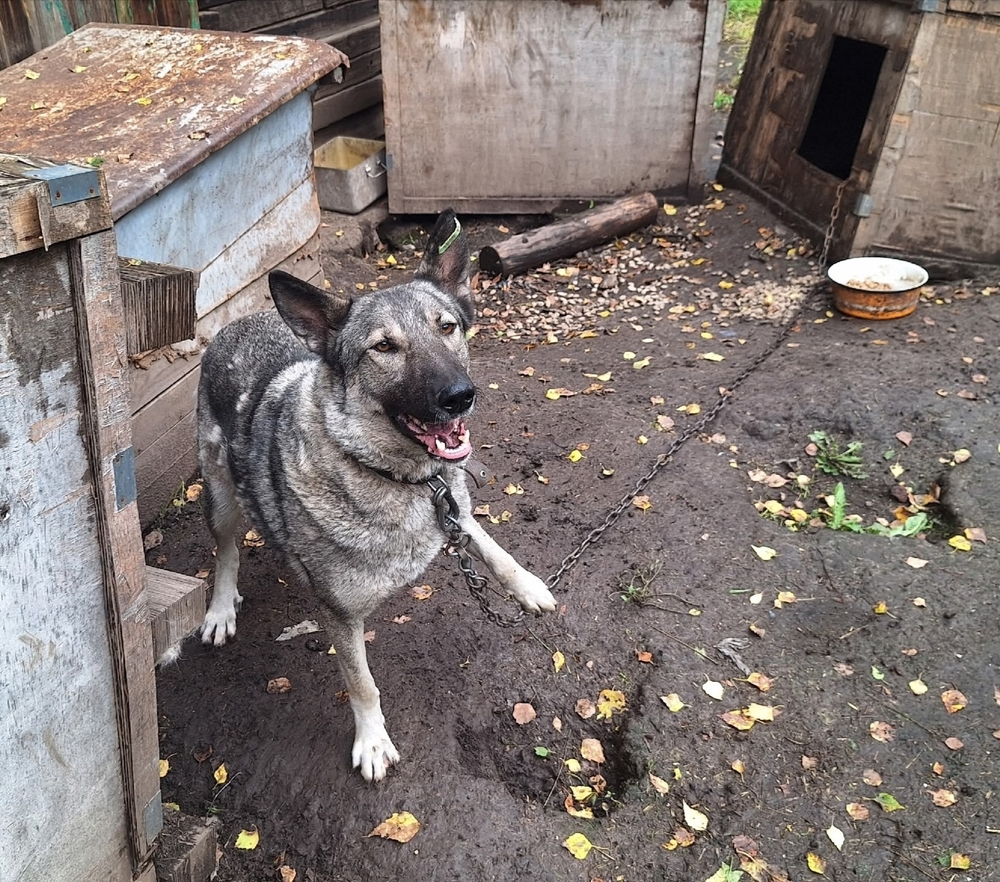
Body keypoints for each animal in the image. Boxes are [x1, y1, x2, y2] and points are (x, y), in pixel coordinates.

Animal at [196, 210, 556, 781]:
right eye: (384, 347)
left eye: (447, 327)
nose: (460, 396)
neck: (397, 477)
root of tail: (232, 325)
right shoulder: (340, 616)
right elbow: (361, 683)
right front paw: (371, 740)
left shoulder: (453, 510)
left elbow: (491, 547)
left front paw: (525, 585)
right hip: (222, 498)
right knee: (226, 548)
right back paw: (219, 608)